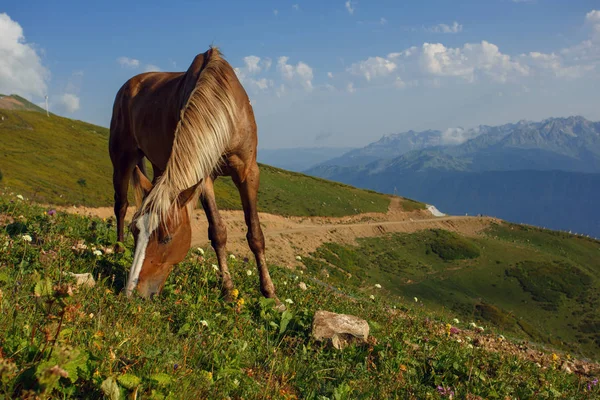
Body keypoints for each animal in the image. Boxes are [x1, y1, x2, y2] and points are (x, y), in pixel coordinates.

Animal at [108, 47, 282, 306]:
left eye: (167, 238)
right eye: (134, 231)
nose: (132, 293)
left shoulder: (248, 172)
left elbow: (256, 234)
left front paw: (270, 293)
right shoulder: (204, 176)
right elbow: (218, 231)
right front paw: (228, 288)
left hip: (159, 166)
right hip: (122, 158)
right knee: (121, 204)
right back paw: (118, 249)